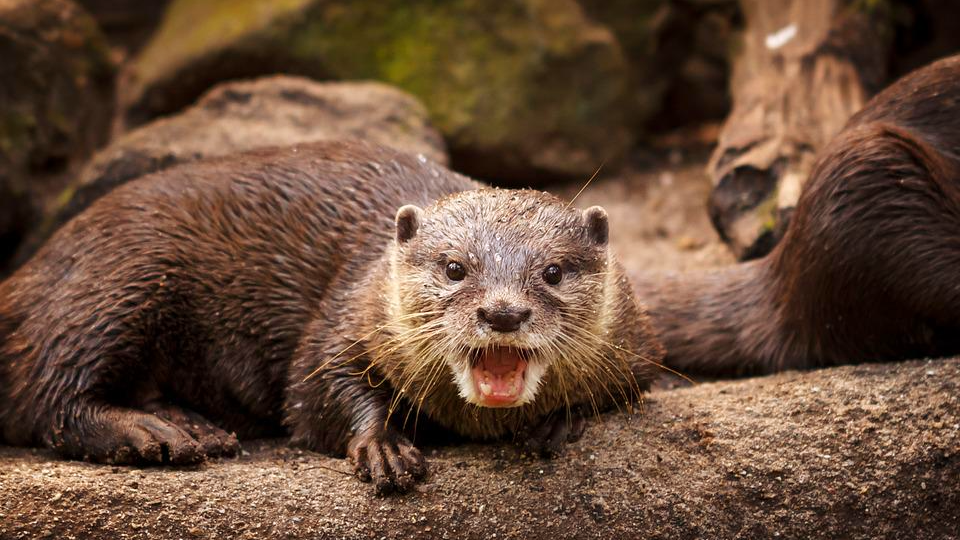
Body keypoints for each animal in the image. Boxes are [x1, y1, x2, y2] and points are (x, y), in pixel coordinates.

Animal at [0, 140, 660, 494]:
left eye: (552, 271)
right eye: (454, 267)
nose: (502, 311)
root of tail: (32, 268)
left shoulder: (637, 346)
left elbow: (627, 387)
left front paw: (559, 421)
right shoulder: (345, 314)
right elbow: (315, 392)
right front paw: (383, 448)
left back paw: (192, 427)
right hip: (116, 282)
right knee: (49, 391)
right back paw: (154, 435)